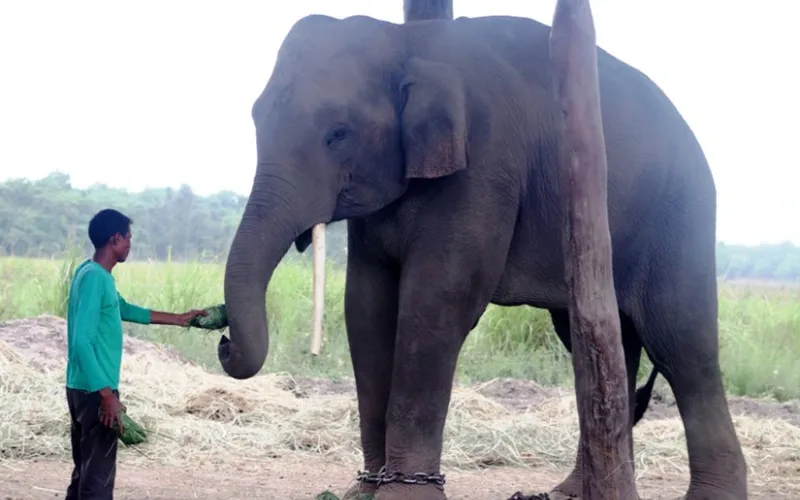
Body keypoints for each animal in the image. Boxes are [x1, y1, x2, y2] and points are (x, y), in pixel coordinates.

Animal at [217, 13, 748, 500]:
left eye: (339, 133)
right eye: (256, 116)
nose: (222, 340)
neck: (407, 40)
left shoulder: (484, 165)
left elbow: (437, 302)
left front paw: (404, 497)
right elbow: (367, 307)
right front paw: (362, 493)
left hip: (679, 218)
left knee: (681, 343)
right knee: (599, 341)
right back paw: (569, 493)